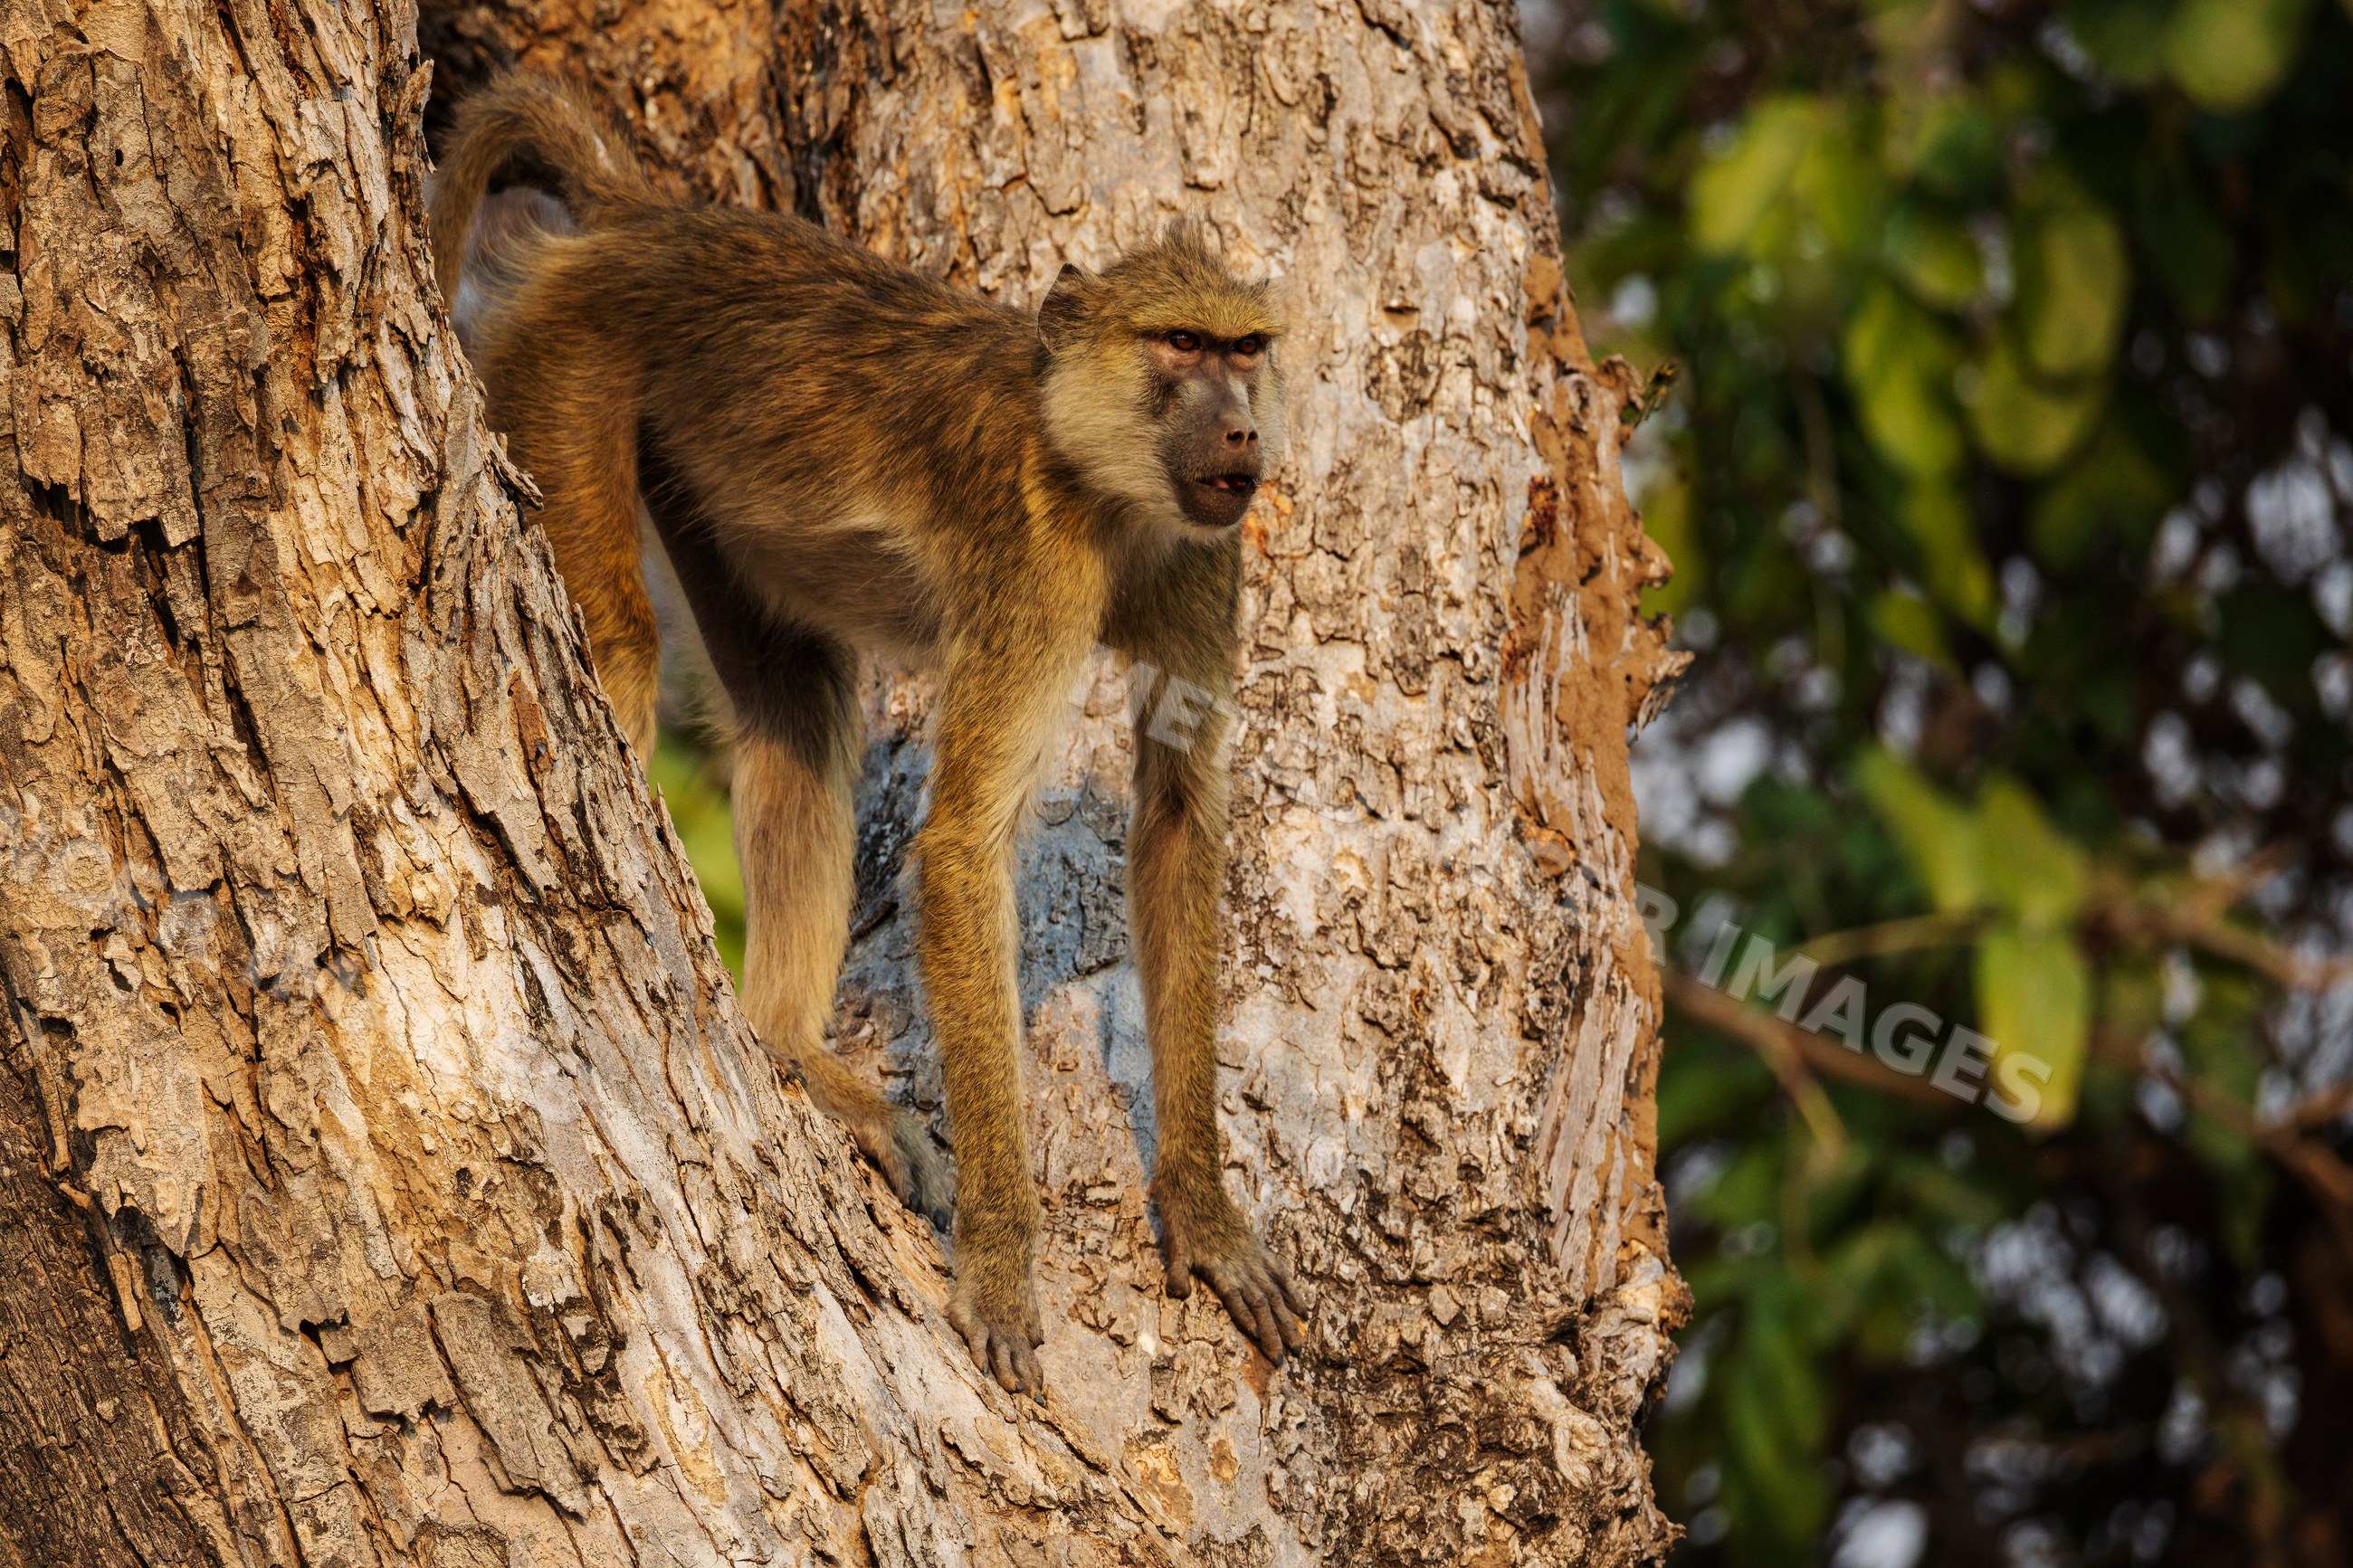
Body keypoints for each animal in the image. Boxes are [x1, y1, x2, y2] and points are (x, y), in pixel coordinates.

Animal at [430, 74, 1305, 1392]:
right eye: (1179, 346)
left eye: (1244, 351)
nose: (1242, 431)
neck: (1099, 479)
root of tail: (655, 224)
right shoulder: (1032, 566)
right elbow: (960, 848)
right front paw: (1000, 1265)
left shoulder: (1203, 557)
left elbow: (1175, 820)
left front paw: (1201, 1213)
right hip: (568, 363)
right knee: (619, 652)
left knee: (793, 714)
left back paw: (788, 1051)